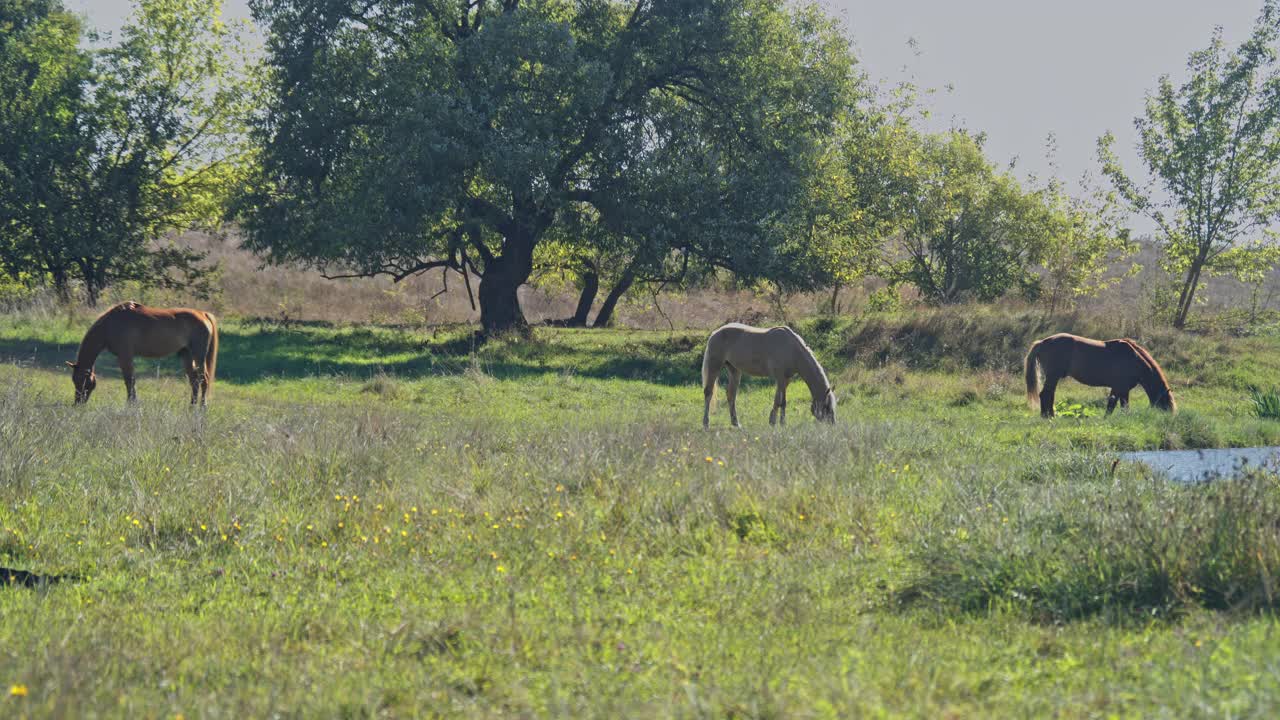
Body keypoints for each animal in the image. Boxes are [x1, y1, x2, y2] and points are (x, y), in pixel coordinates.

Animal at [66, 299, 218, 407]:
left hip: (199, 355)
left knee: (203, 378)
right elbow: (130, 380)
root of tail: (203, 314)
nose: (77, 403)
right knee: (194, 381)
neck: (111, 324)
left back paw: (202, 407)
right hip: (187, 355)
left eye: (82, 381)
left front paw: (131, 403)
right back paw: (192, 406)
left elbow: (129, 380)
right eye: (74, 381)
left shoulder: (125, 356)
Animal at [701, 324, 839, 425]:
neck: (792, 350)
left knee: (731, 395)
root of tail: (715, 333)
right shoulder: (780, 378)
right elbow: (781, 401)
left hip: (734, 370)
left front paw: (777, 422)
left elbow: (780, 401)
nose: (832, 425)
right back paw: (706, 424)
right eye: (826, 407)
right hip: (715, 366)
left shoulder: (785, 380)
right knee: (708, 393)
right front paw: (778, 423)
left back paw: (736, 424)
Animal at [1024, 333, 1172, 417]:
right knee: (1046, 394)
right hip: (1053, 376)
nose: (1168, 416)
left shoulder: (1123, 390)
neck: (1133, 359)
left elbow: (1122, 406)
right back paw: (1049, 417)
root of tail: (1042, 342)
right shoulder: (1118, 388)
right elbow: (1112, 405)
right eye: (1167, 402)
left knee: (1048, 394)